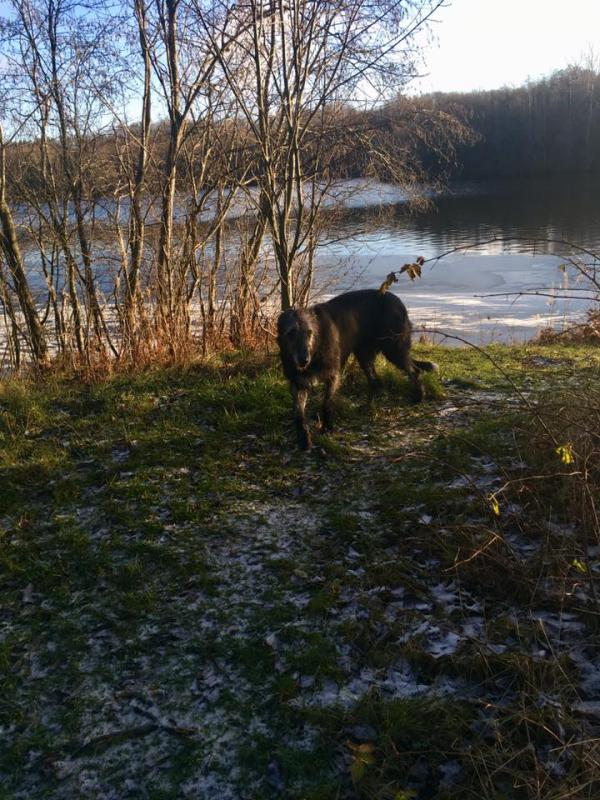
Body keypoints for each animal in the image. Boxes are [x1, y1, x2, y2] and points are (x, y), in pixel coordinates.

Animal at [277, 289, 437, 449]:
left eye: (309, 332)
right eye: (291, 333)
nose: (303, 360)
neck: (316, 348)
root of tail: (398, 301)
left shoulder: (333, 376)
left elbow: (326, 403)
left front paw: (327, 428)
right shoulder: (298, 383)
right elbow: (298, 414)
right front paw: (303, 439)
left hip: (394, 347)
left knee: (414, 371)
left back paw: (419, 397)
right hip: (364, 355)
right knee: (376, 382)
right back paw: (368, 406)